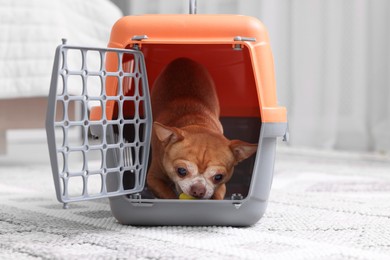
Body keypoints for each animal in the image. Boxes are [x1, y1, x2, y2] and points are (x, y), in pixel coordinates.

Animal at [148, 58, 258, 199]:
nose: (198, 190)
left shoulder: (222, 186)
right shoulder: (153, 178)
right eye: (181, 171)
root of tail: (182, 59)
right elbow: (169, 195)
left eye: (218, 177)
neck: (196, 122)